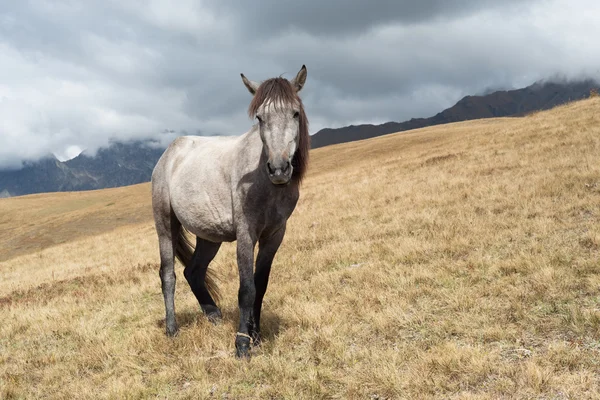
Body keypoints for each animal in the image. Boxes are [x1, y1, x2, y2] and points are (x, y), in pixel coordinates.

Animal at [151, 65, 310, 360]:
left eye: (295, 112)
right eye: (260, 117)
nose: (279, 169)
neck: (262, 180)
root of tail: (170, 153)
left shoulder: (275, 234)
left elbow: (261, 284)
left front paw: (256, 336)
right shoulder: (246, 233)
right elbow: (247, 288)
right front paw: (242, 344)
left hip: (208, 237)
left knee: (194, 271)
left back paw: (213, 315)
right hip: (165, 226)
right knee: (168, 274)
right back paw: (172, 329)